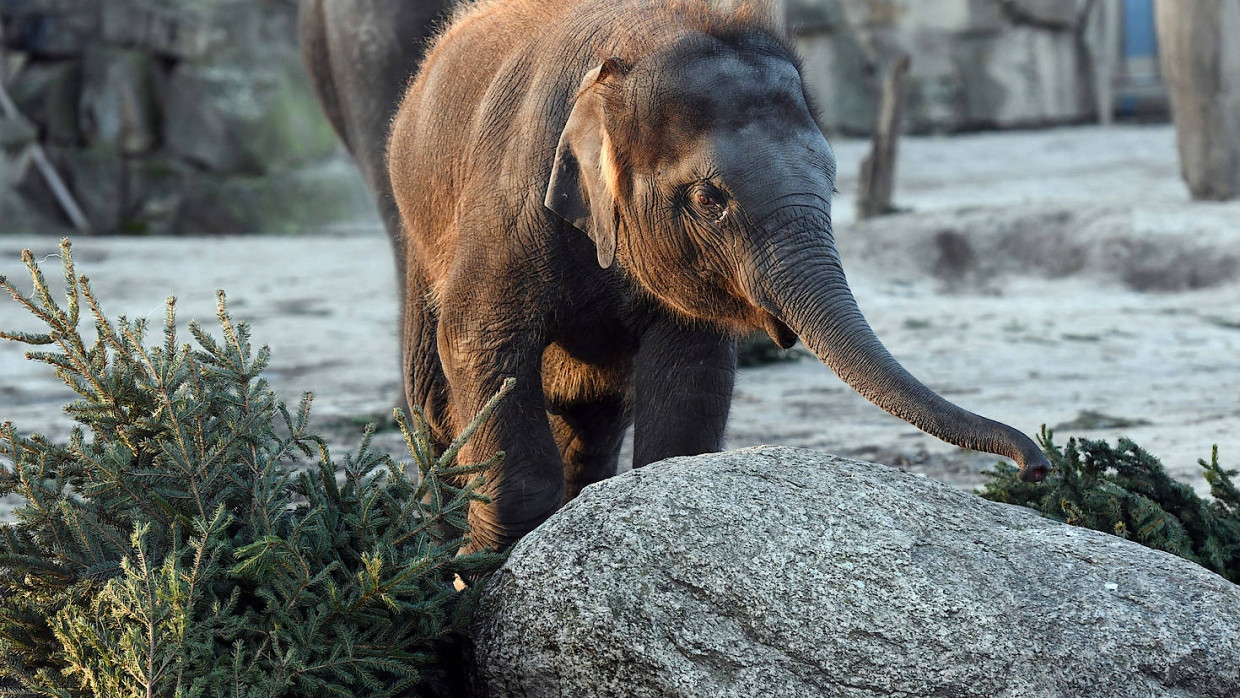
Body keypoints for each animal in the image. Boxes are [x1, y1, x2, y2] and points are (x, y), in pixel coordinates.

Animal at [384, 0, 1046, 557]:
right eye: (709, 199)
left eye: (832, 184)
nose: (1035, 466)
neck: (643, 37)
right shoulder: (511, 206)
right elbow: (481, 341)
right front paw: (479, 566)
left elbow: (690, 369)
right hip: (417, 235)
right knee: (435, 397)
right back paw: (435, 546)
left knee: (592, 413)